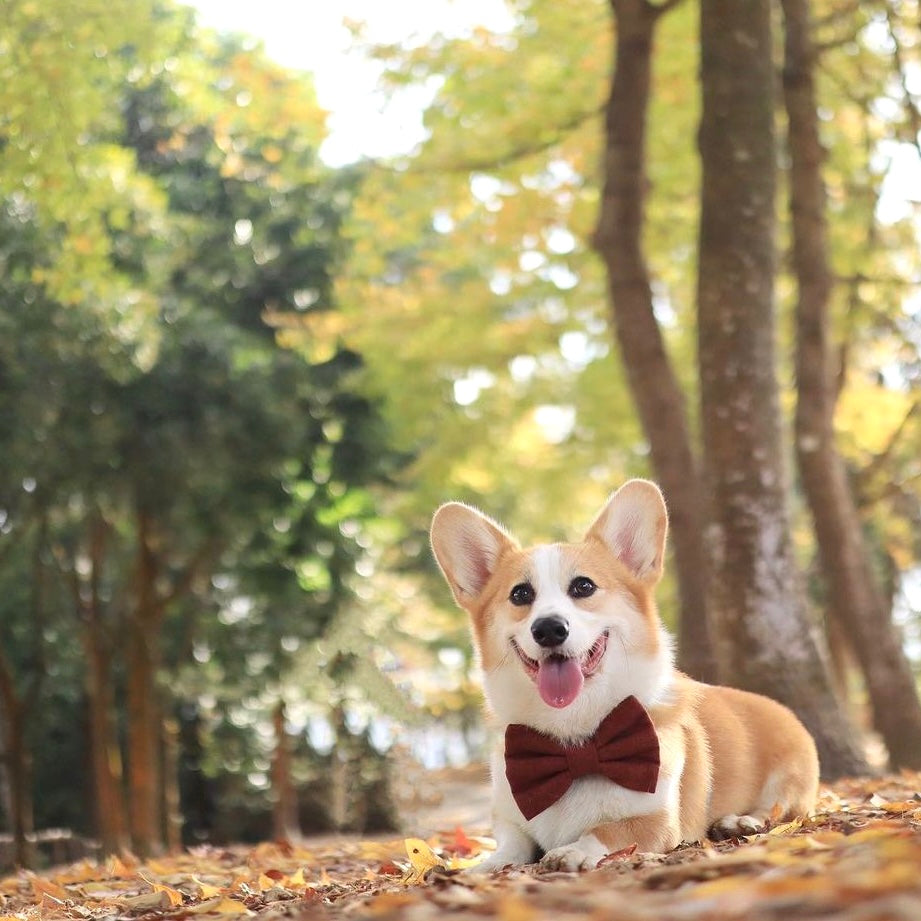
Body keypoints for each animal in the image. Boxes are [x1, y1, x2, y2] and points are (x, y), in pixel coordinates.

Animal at [428, 478, 816, 872]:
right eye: (520, 594)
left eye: (583, 586)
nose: (549, 629)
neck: (572, 742)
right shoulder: (509, 819)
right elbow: (510, 845)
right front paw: (483, 866)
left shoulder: (658, 820)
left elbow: (607, 830)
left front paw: (574, 850)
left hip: (791, 775)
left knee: (777, 809)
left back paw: (740, 820)